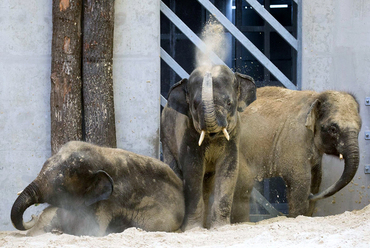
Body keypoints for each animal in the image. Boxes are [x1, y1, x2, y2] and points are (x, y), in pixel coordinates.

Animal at [160, 65, 256, 230]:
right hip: (166, 138)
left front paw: (221, 227)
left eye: (229, 103)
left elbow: (229, 168)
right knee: (175, 171)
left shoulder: (234, 136)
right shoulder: (188, 134)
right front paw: (193, 229)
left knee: (208, 183)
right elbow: (193, 171)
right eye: (194, 105)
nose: (208, 70)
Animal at [238, 86, 362, 218]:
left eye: (360, 127)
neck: (315, 97)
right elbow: (300, 181)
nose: (311, 196)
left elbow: (316, 178)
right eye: (333, 129)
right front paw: (297, 216)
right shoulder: (295, 138)